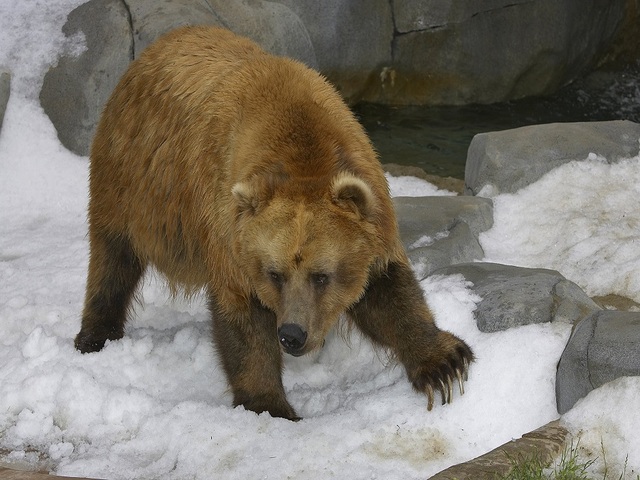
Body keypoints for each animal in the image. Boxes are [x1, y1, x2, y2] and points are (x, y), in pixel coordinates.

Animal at [75, 26, 473, 420]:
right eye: (275, 274)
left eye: (321, 275)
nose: (292, 334)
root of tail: (153, 49)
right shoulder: (228, 228)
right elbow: (244, 320)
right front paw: (270, 404)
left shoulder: (371, 213)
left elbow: (388, 291)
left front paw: (443, 363)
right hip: (132, 179)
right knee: (112, 255)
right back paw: (94, 336)